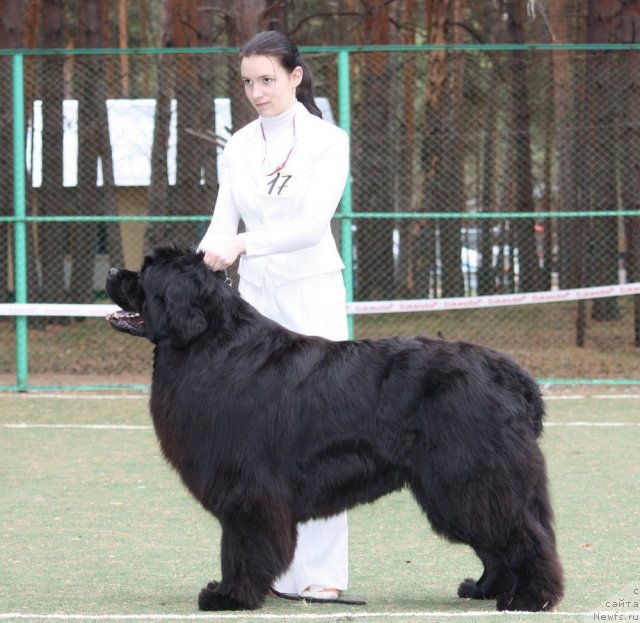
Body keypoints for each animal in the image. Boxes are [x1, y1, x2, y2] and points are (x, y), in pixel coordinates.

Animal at [106, 245, 564, 616]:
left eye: (146, 272)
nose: (111, 271)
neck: (210, 343)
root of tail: (508, 372)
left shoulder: (246, 488)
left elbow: (240, 546)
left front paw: (230, 596)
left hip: (469, 477)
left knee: (525, 536)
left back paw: (531, 599)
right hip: (459, 485)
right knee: (499, 543)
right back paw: (485, 589)